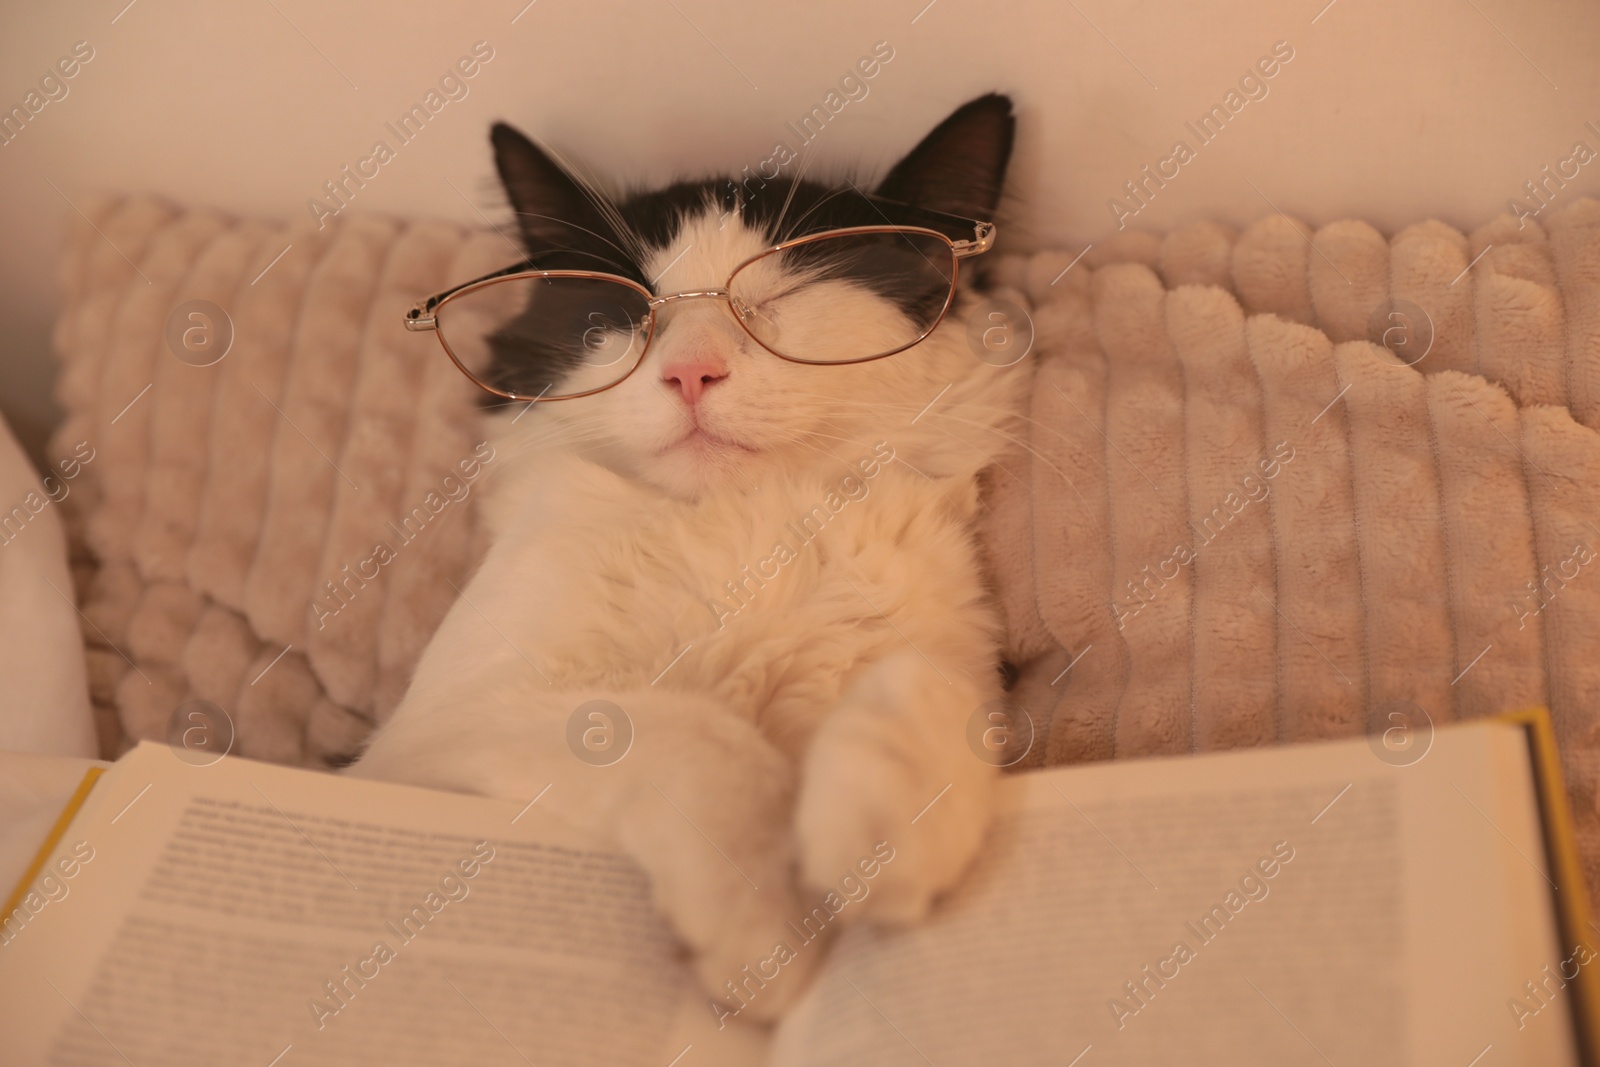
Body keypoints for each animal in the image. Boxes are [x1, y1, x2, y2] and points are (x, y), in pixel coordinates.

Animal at [350, 95, 1024, 1023]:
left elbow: (929, 684)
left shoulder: (951, 647)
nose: (690, 373)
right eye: (630, 317)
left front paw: (881, 833)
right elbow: (698, 733)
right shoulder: (429, 736)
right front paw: (771, 936)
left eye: (780, 293)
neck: (741, 531)